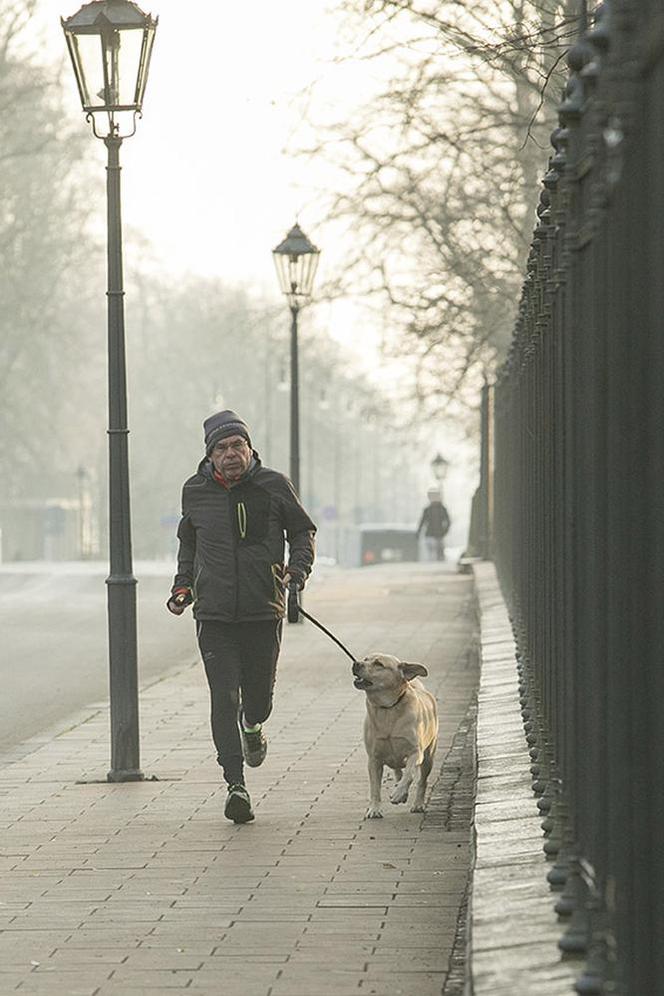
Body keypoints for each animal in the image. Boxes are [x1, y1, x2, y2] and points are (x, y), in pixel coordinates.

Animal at [350, 648, 438, 820]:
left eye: (379, 664)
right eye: (365, 659)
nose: (356, 663)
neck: (388, 708)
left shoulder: (415, 752)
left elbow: (410, 774)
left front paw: (398, 794)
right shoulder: (374, 759)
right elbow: (375, 787)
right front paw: (374, 809)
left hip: (428, 757)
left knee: (421, 780)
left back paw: (417, 803)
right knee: (398, 771)